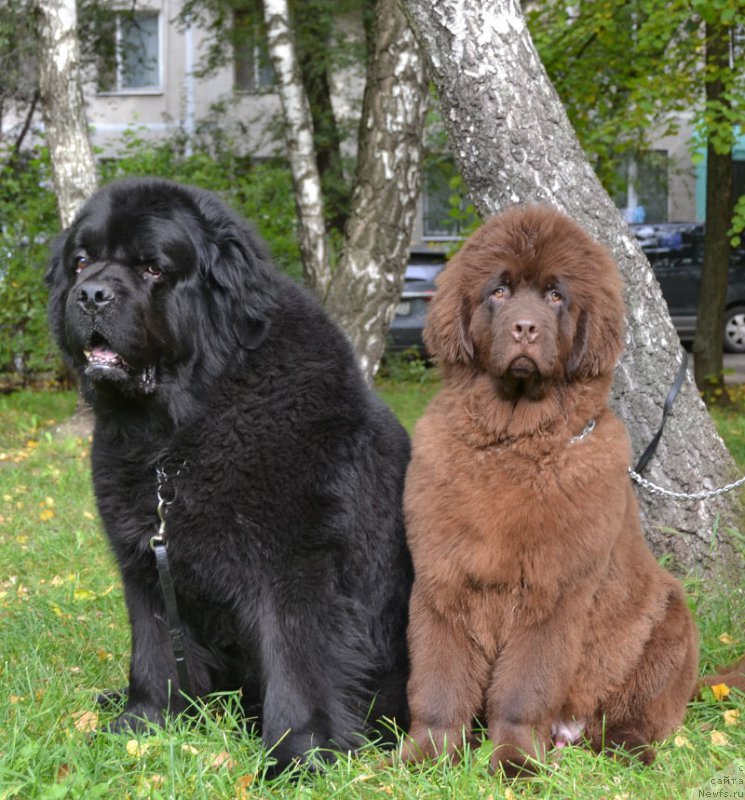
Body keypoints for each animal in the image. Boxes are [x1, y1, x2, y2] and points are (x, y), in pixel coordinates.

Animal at [46, 177, 412, 768]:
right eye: (81, 262)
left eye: (152, 268)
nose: (92, 294)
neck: (173, 439)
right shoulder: (145, 562)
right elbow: (152, 649)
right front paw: (142, 724)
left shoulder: (294, 565)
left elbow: (296, 662)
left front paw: (297, 757)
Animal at [402, 203, 696, 772]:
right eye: (499, 291)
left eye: (556, 296)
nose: (525, 327)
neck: (514, 443)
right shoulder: (441, 579)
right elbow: (438, 681)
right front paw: (425, 758)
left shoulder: (553, 591)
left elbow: (525, 687)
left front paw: (514, 764)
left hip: (671, 623)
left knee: (643, 715)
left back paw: (624, 751)